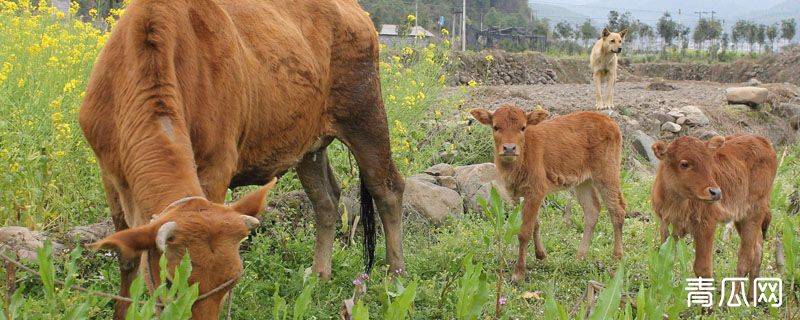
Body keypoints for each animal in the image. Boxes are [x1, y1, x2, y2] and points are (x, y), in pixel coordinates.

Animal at [80, 0, 404, 318]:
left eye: (232, 280)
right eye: (170, 282)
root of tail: (355, 10)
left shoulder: (215, 168)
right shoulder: (110, 174)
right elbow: (127, 258)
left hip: (365, 115)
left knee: (388, 189)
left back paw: (395, 277)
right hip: (309, 145)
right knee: (326, 200)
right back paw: (319, 275)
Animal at [472, 106, 628, 282]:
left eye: (523, 127)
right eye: (496, 127)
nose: (509, 148)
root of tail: (609, 121)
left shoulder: (536, 191)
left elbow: (524, 231)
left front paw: (518, 273)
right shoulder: (524, 194)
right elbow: (535, 224)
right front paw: (541, 255)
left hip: (607, 175)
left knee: (617, 209)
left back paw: (617, 256)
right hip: (583, 182)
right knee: (592, 210)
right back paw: (580, 256)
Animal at [652, 136, 780, 290]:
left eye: (709, 162)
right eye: (684, 164)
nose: (716, 192)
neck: (677, 203)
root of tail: (762, 140)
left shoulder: (707, 225)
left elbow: (703, 269)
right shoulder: (667, 225)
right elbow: (665, 260)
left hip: (754, 213)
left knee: (746, 258)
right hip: (741, 217)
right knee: (757, 251)